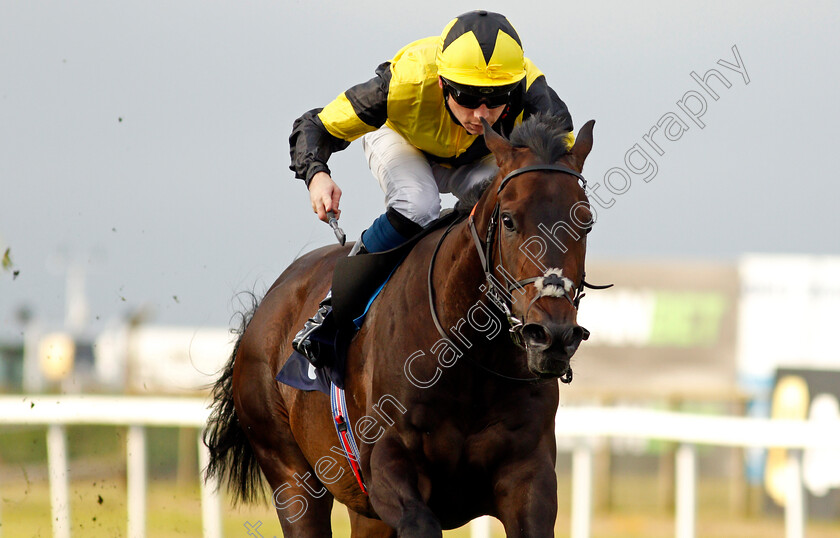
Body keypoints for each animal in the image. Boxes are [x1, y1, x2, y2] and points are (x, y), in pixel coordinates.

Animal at [203, 112, 596, 532]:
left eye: (585, 222)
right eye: (508, 220)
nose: (552, 336)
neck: (470, 362)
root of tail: (270, 299)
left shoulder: (529, 476)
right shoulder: (388, 469)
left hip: (362, 509)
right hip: (290, 475)